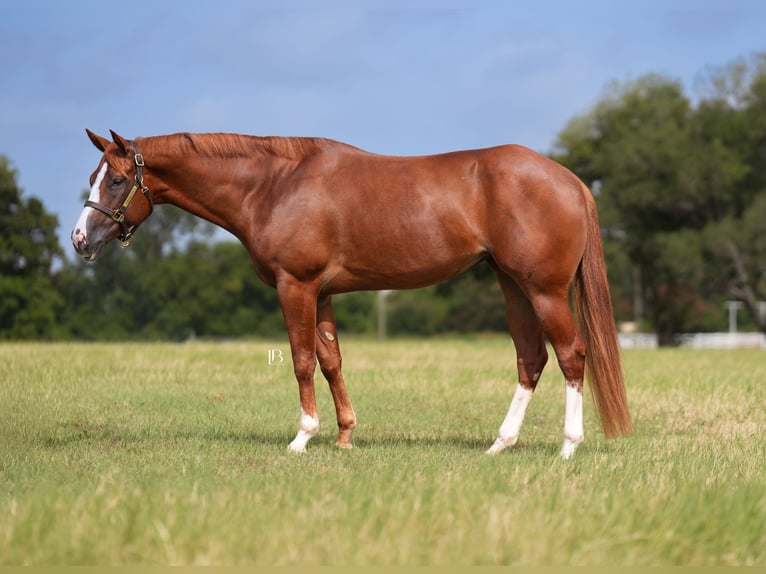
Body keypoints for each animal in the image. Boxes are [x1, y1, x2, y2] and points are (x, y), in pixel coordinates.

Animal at [72, 129, 632, 458]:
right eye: (93, 176)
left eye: (116, 181)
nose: (80, 239)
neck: (274, 185)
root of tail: (570, 180)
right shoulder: (321, 293)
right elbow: (331, 360)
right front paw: (344, 435)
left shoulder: (295, 286)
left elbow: (301, 360)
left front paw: (302, 436)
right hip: (512, 285)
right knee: (531, 359)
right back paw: (500, 444)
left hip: (544, 290)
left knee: (572, 354)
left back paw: (568, 447)